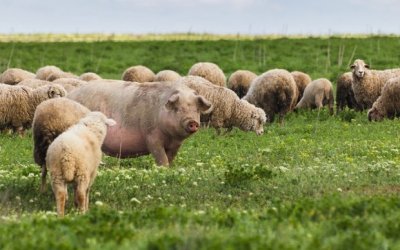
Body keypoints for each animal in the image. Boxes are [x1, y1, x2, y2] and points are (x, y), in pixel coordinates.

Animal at [67, 80, 212, 166]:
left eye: (196, 110)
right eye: (178, 109)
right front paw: (163, 170)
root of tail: (69, 95)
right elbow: (161, 157)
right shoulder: (151, 137)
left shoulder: (176, 144)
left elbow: (170, 158)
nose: (192, 122)